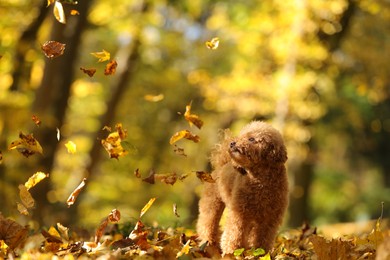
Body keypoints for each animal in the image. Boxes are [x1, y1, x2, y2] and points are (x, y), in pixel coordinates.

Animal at [197, 121, 288, 255]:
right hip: (212, 203)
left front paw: (261, 253)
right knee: (207, 224)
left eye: (251, 139)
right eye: (241, 136)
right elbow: (234, 234)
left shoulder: (269, 218)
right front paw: (232, 253)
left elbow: (263, 239)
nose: (232, 143)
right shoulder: (240, 214)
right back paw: (208, 245)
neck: (261, 181)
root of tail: (222, 165)